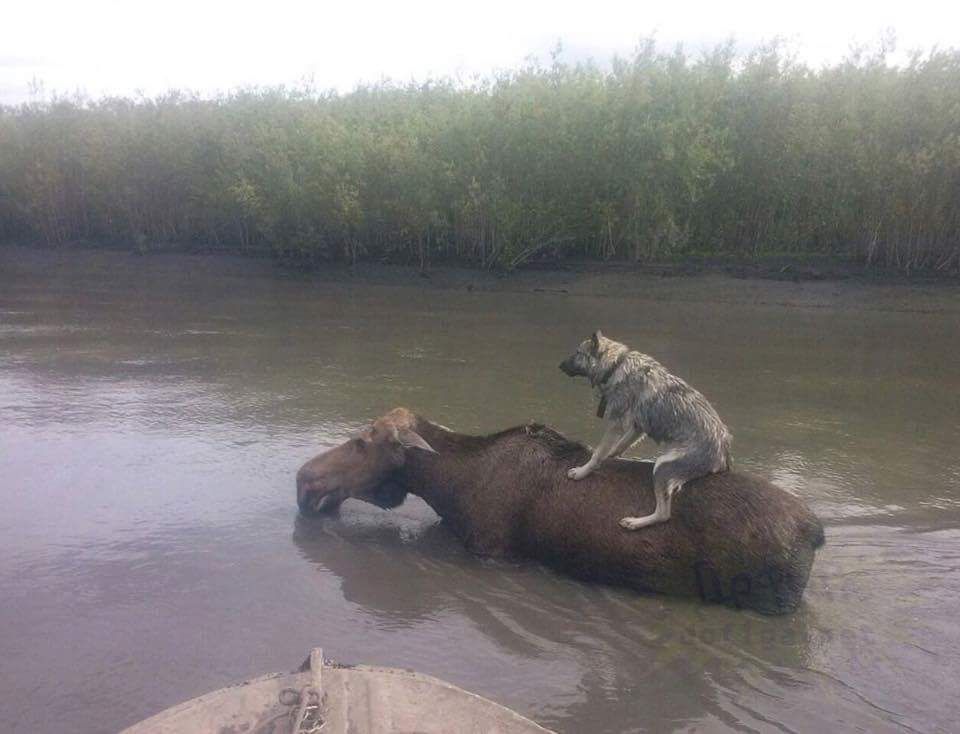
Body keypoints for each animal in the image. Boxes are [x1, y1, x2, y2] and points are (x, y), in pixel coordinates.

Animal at [560, 332, 732, 528]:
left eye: (577, 353)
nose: (560, 365)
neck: (615, 365)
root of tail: (723, 454)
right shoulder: (636, 427)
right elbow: (619, 446)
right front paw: (612, 454)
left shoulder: (616, 424)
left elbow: (598, 454)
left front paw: (581, 472)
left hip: (662, 466)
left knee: (663, 514)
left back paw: (634, 522)